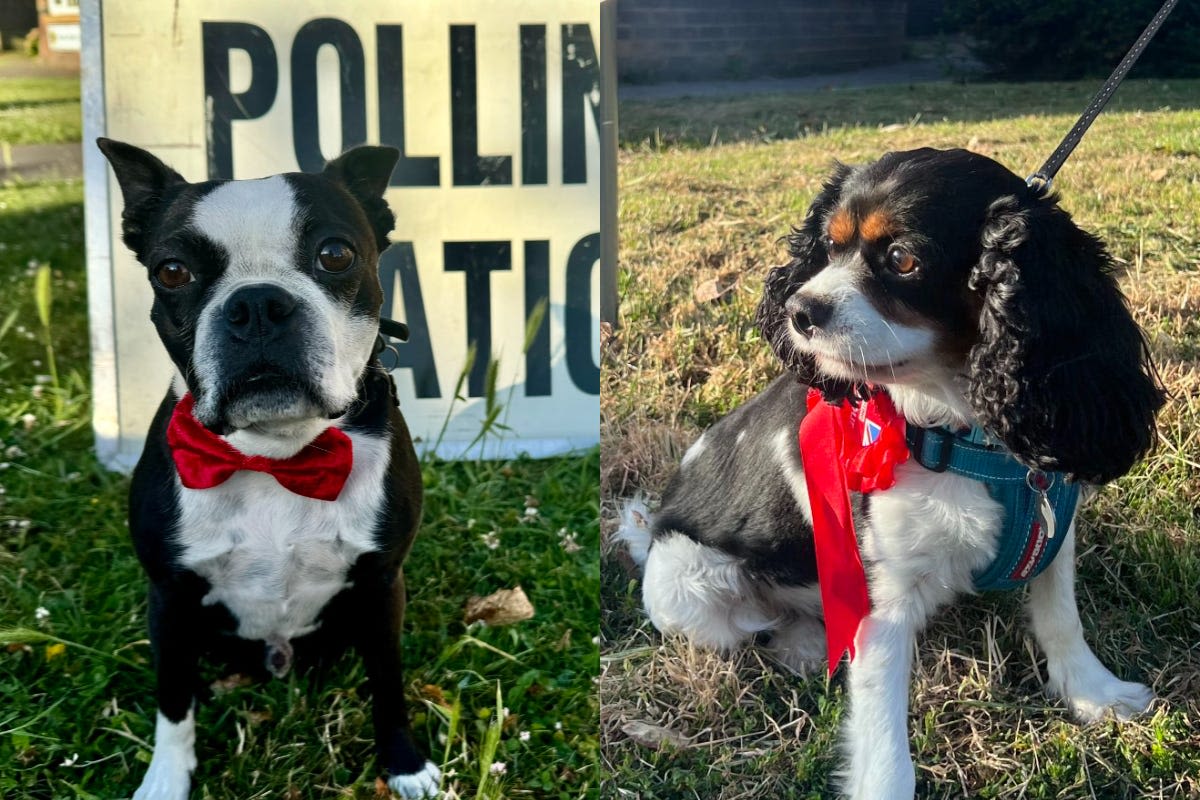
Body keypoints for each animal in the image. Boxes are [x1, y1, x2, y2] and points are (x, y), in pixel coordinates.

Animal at [96, 140, 439, 796]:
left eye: (335, 254)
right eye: (171, 271)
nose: (256, 303)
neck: (275, 456)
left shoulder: (383, 585)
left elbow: (387, 681)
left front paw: (405, 763)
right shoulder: (169, 596)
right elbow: (172, 699)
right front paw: (167, 777)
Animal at [619, 146, 1161, 796]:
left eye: (902, 258)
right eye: (828, 248)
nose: (799, 309)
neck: (960, 428)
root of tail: (654, 527)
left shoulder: (1056, 525)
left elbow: (1061, 617)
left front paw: (1094, 693)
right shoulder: (883, 599)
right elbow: (882, 732)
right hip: (688, 585)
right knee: (752, 628)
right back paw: (807, 642)